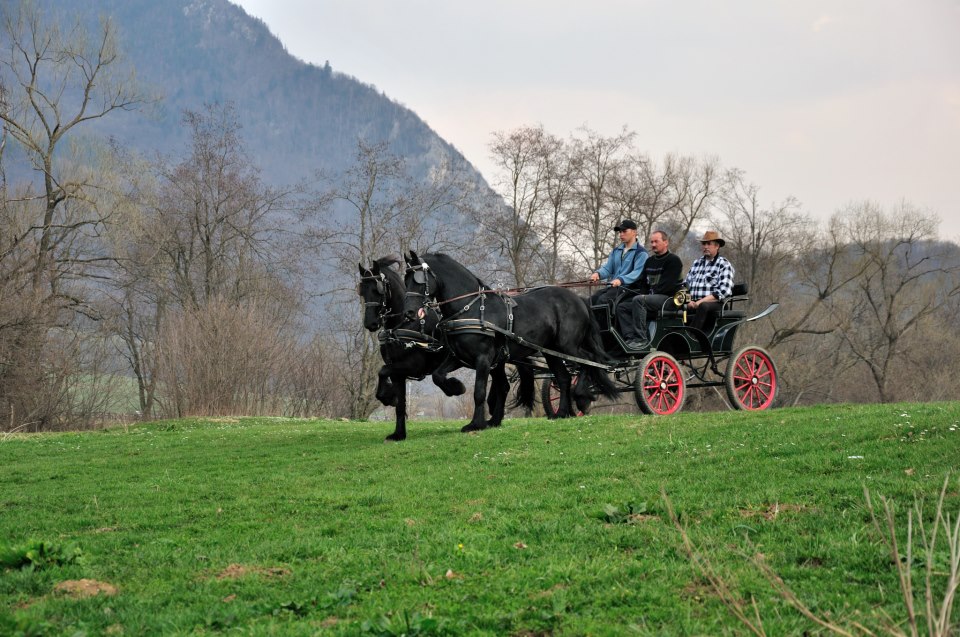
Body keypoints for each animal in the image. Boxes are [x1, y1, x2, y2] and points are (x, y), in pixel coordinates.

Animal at [360, 256, 464, 440]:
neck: (405, 325)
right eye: (362, 291)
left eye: (377, 289)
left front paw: (389, 397)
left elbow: (382, 371)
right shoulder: (398, 372)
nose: (370, 323)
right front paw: (398, 434)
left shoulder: (413, 366)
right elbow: (400, 404)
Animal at [404, 251, 616, 430]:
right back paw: (562, 412)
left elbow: (479, 391)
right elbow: (438, 375)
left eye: (418, 280)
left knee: (589, 361)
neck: (472, 309)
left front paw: (476, 424)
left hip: (568, 346)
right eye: (406, 280)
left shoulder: (483, 358)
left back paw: (581, 396)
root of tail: (579, 299)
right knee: (564, 378)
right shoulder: (460, 357)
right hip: (551, 352)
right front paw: (456, 389)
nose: (409, 313)